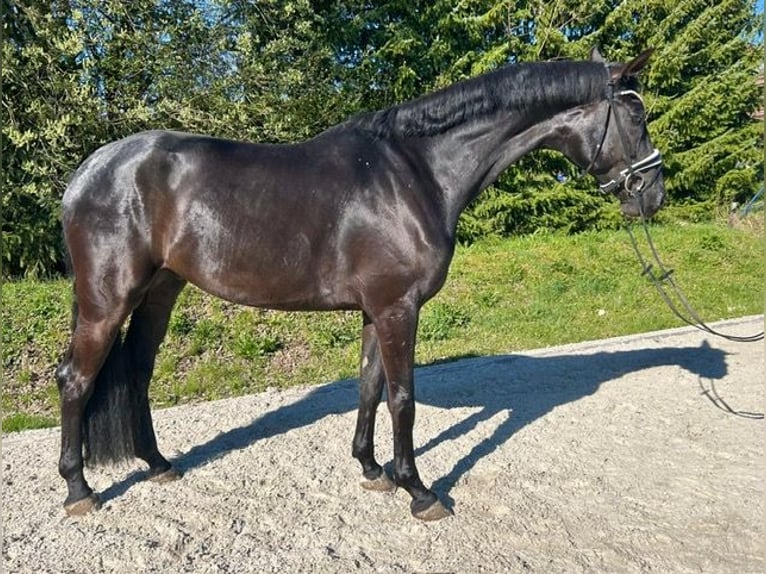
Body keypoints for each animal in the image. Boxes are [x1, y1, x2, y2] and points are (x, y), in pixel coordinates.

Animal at [56, 48, 664, 521]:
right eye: (637, 117)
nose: (653, 195)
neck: (417, 173)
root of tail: (88, 172)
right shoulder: (399, 307)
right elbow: (403, 397)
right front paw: (419, 490)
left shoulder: (377, 308)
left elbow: (370, 386)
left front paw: (373, 469)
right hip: (108, 300)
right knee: (76, 379)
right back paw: (79, 490)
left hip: (161, 290)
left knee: (136, 372)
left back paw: (158, 465)